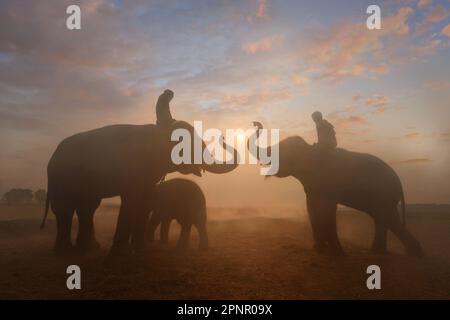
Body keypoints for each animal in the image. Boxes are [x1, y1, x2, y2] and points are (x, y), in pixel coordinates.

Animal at [41, 119, 237, 255]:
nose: (223, 137)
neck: (159, 132)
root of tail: (52, 157)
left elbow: (146, 201)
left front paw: (142, 248)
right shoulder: (134, 168)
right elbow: (132, 199)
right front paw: (122, 252)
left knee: (87, 207)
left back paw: (89, 248)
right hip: (61, 177)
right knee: (65, 208)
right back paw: (65, 251)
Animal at [248, 121, 424, 256]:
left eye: (283, 151)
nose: (255, 123)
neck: (310, 150)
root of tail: (399, 181)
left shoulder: (329, 184)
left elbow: (328, 210)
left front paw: (336, 253)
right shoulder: (312, 187)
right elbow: (312, 208)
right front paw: (318, 249)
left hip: (384, 194)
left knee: (384, 217)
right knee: (386, 218)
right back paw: (398, 253)